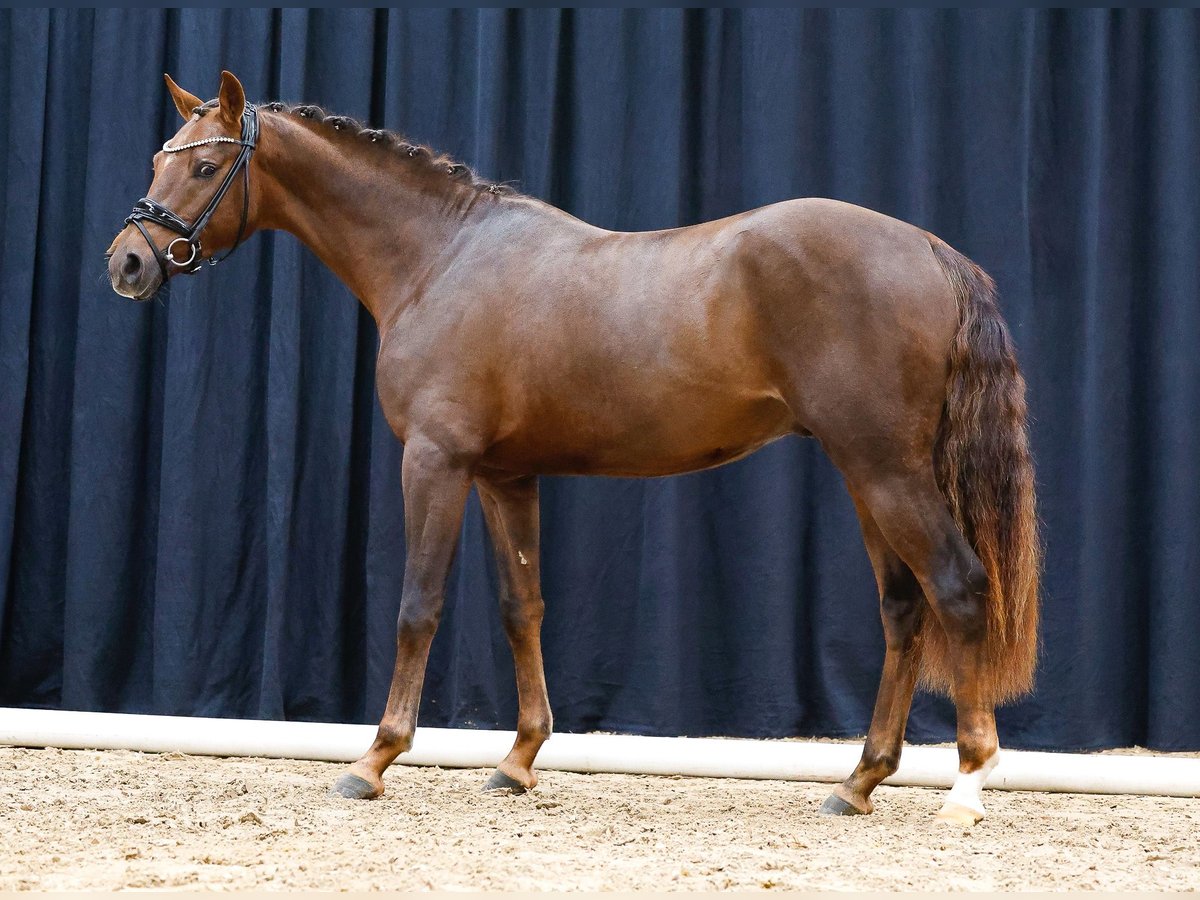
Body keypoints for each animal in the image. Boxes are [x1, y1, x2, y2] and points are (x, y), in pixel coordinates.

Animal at [108, 74, 1036, 830]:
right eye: (155, 157)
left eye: (203, 167)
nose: (127, 263)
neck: (440, 258)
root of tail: (930, 250)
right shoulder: (505, 476)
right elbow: (523, 608)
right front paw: (518, 762)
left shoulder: (436, 463)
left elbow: (418, 607)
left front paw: (374, 760)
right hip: (867, 473)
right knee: (904, 611)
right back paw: (858, 782)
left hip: (885, 470)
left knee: (959, 590)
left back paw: (966, 785)